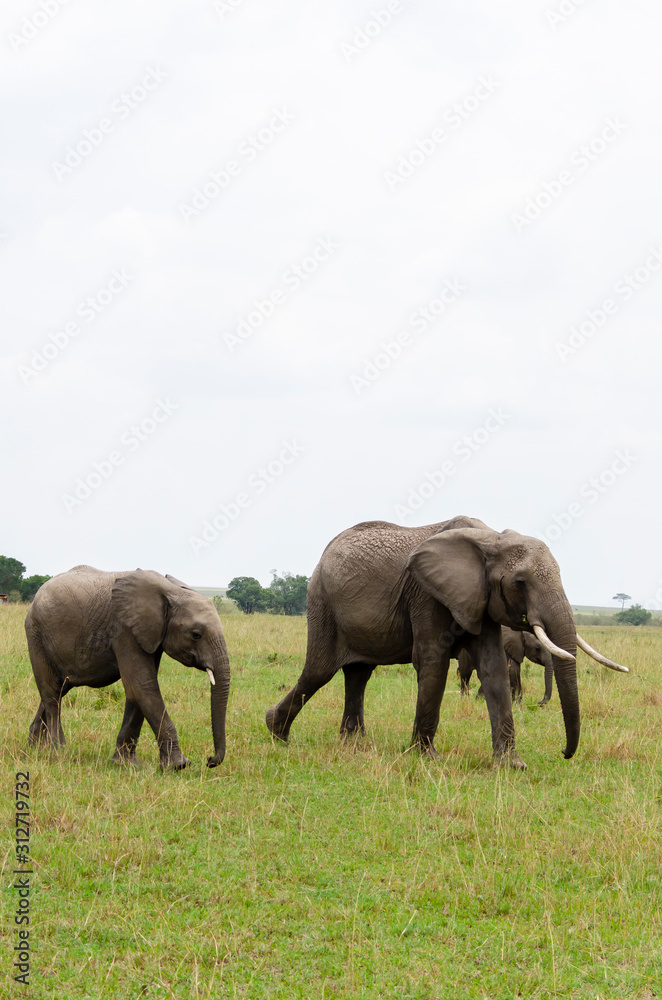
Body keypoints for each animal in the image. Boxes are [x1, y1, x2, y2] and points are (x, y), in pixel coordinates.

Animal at [24, 568, 232, 768]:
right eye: (196, 634)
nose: (209, 760)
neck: (170, 591)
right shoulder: (124, 630)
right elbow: (142, 686)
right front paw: (179, 765)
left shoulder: (149, 635)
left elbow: (137, 690)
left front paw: (125, 764)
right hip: (36, 635)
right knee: (52, 694)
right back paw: (59, 751)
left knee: (59, 688)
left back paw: (34, 749)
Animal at [268, 516, 632, 764]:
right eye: (520, 582)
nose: (564, 752)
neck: (490, 539)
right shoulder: (426, 593)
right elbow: (433, 659)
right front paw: (426, 757)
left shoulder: (481, 598)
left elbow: (493, 667)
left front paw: (512, 764)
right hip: (321, 601)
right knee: (320, 670)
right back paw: (276, 731)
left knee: (358, 674)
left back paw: (353, 743)